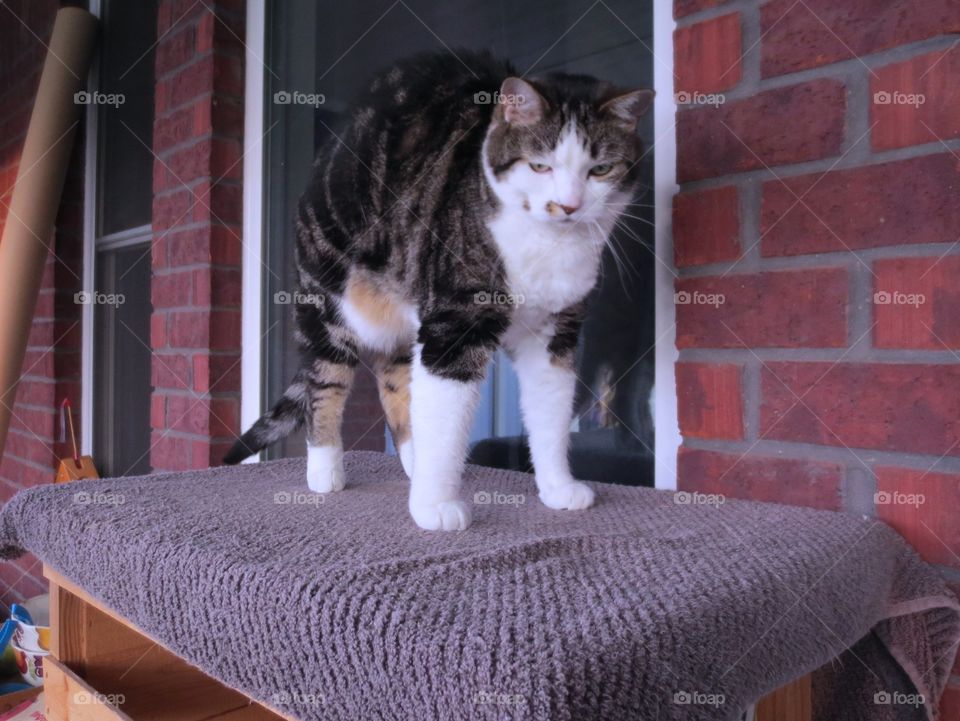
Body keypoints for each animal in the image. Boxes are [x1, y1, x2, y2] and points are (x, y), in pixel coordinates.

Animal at [227, 50, 652, 532]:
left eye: (600, 169)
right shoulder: (455, 323)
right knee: (325, 382)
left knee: (396, 386)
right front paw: (436, 506)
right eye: (539, 165)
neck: (545, 246)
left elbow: (550, 414)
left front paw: (558, 489)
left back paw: (415, 463)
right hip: (327, 299)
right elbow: (448, 418)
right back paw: (325, 471)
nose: (567, 205)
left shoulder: (554, 334)